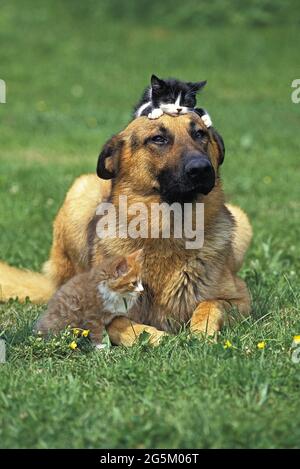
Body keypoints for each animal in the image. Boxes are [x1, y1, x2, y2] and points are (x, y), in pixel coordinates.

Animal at [0, 113, 252, 346]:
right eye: (158, 139)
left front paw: (201, 331)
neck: (167, 231)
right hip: (80, 193)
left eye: (200, 134)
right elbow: (121, 324)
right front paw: (158, 338)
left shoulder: (241, 299)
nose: (201, 168)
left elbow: (210, 304)